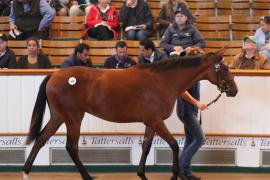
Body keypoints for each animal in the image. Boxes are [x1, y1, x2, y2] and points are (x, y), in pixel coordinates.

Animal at [22, 48, 237, 180]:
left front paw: (141, 174)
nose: (234, 90)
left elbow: (146, 147)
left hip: (58, 118)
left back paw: (25, 172)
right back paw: (87, 176)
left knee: (41, 139)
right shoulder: (156, 121)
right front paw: (174, 174)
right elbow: (174, 145)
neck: (163, 80)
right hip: (74, 118)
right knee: (71, 147)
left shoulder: (151, 122)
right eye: (224, 68)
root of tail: (54, 75)